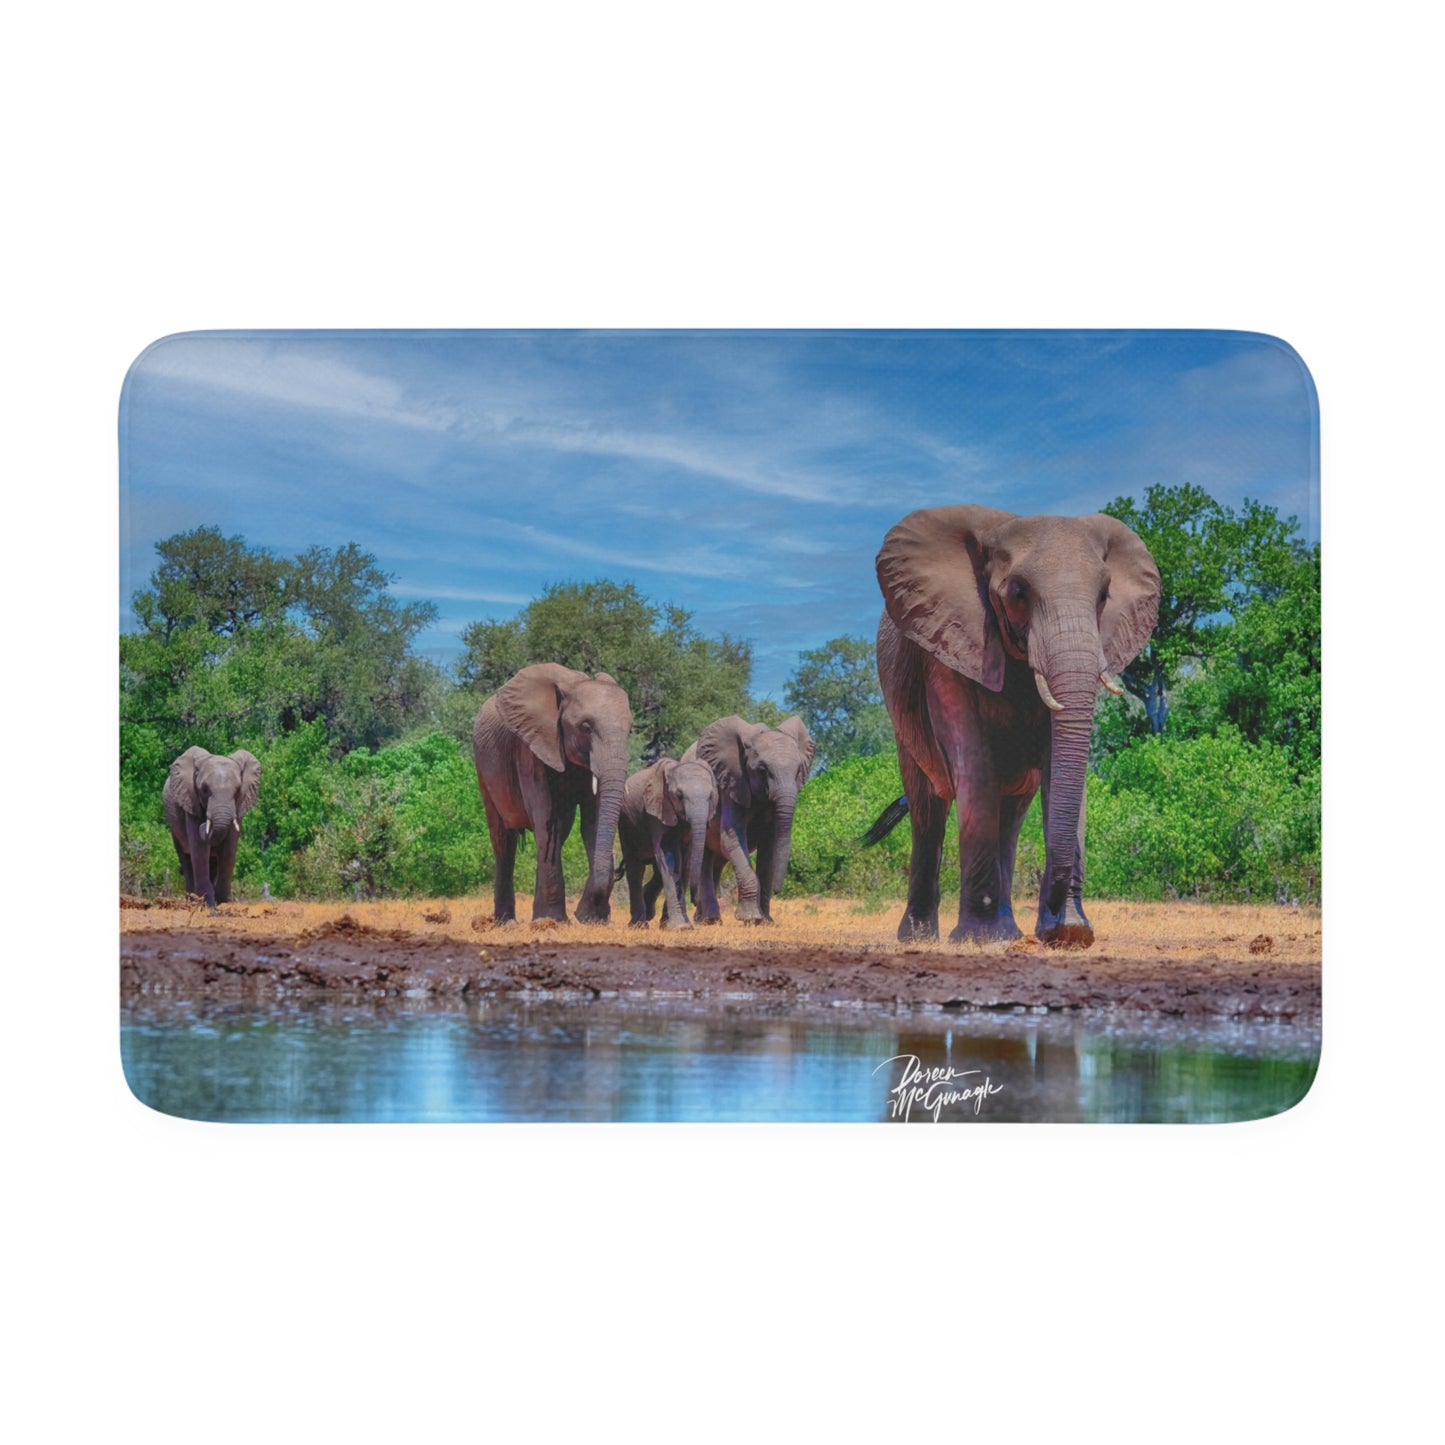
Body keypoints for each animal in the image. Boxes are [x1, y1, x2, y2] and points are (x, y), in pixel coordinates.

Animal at [162, 746, 262, 908]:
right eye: (204, 789)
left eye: (237, 791)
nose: (205, 825)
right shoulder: (191, 801)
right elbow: (199, 847)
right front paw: (207, 903)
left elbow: (229, 848)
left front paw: (223, 901)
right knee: (185, 857)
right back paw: (192, 900)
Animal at [473, 662, 633, 924]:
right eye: (586, 727)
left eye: (630, 731)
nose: (580, 913)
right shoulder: (529, 746)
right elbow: (544, 814)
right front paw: (555, 920)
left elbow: (591, 822)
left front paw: (591, 919)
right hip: (483, 767)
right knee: (504, 839)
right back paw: (506, 922)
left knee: (557, 833)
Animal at [617, 757, 719, 929]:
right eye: (679, 795)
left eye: (711, 796)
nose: (695, 901)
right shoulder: (657, 809)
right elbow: (669, 857)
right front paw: (680, 927)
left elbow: (685, 863)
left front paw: (682, 926)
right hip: (626, 824)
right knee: (635, 868)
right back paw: (639, 925)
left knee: (657, 870)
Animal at [682, 715, 815, 924]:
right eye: (763, 770)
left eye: (798, 771)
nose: (778, 890)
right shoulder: (731, 783)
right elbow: (731, 837)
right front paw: (751, 918)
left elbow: (770, 845)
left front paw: (765, 921)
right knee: (705, 857)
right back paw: (709, 920)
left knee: (716, 860)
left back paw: (705, 919)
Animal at [868, 505, 1159, 949]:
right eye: (1018, 594)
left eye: (1103, 597)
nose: (1057, 924)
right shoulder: (948, 644)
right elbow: (974, 764)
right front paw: (979, 939)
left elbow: (1060, 769)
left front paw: (1070, 931)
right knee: (928, 808)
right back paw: (920, 938)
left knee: (1010, 814)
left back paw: (1008, 931)